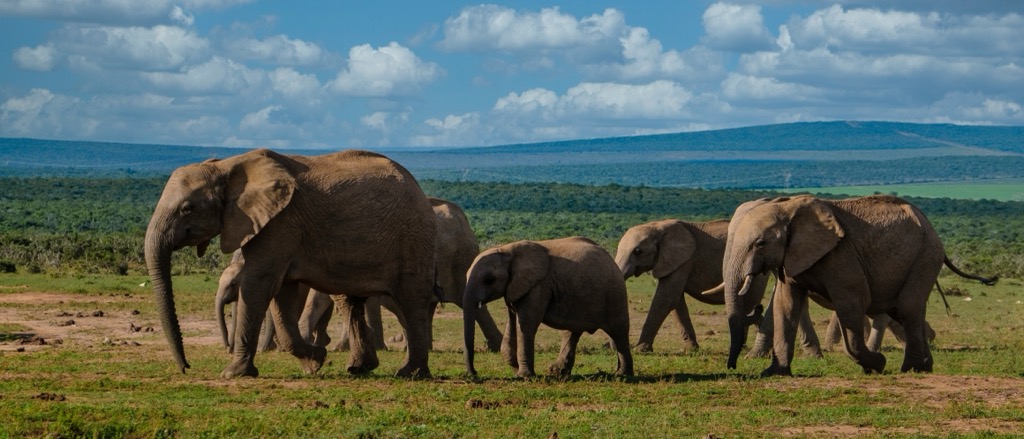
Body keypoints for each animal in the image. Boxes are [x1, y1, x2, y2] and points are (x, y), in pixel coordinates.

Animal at [144, 148, 437, 378]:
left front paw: (232, 374)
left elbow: (259, 284)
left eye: (187, 208)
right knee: (352, 301)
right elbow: (282, 292)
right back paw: (359, 368)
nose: (186, 367)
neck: (227, 165)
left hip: (413, 236)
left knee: (412, 300)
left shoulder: (280, 223)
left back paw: (410, 373)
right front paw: (315, 362)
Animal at [463, 237, 633, 378]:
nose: (475, 373)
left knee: (619, 332)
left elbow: (527, 324)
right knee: (572, 332)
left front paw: (524, 376)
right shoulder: (514, 288)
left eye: (489, 280)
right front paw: (515, 369)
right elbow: (512, 321)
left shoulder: (538, 287)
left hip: (615, 293)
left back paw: (623, 375)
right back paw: (559, 373)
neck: (507, 249)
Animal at [614, 219, 820, 356]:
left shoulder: (683, 260)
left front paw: (640, 349)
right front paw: (691, 349)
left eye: (638, 251)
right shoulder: (673, 263)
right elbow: (676, 302)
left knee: (749, 300)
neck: (657, 226)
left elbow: (666, 299)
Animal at [721, 194, 997, 376]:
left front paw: (878, 364)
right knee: (912, 312)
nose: (732, 366)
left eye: (760, 244)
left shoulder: (841, 257)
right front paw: (774, 373)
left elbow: (852, 304)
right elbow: (786, 306)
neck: (788, 207)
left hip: (925, 257)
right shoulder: (791, 258)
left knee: (907, 310)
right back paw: (925, 367)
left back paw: (911, 369)